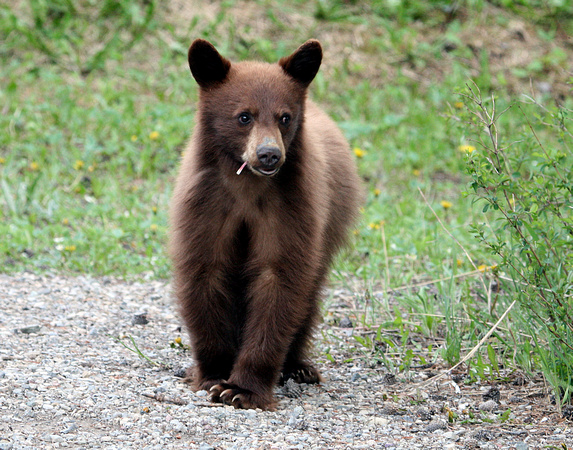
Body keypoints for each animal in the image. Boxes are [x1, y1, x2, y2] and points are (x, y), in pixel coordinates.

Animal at [168, 39, 360, 412]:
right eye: (244, 116)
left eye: (285, 117)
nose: (269, 154)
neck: (247, 186)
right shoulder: (208, 203)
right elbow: (205, 271)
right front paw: (212, 374)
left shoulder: (289, 207)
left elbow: (279, 279)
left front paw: (242, 389)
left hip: (330, 225)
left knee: (309, 293)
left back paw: (298, 366)